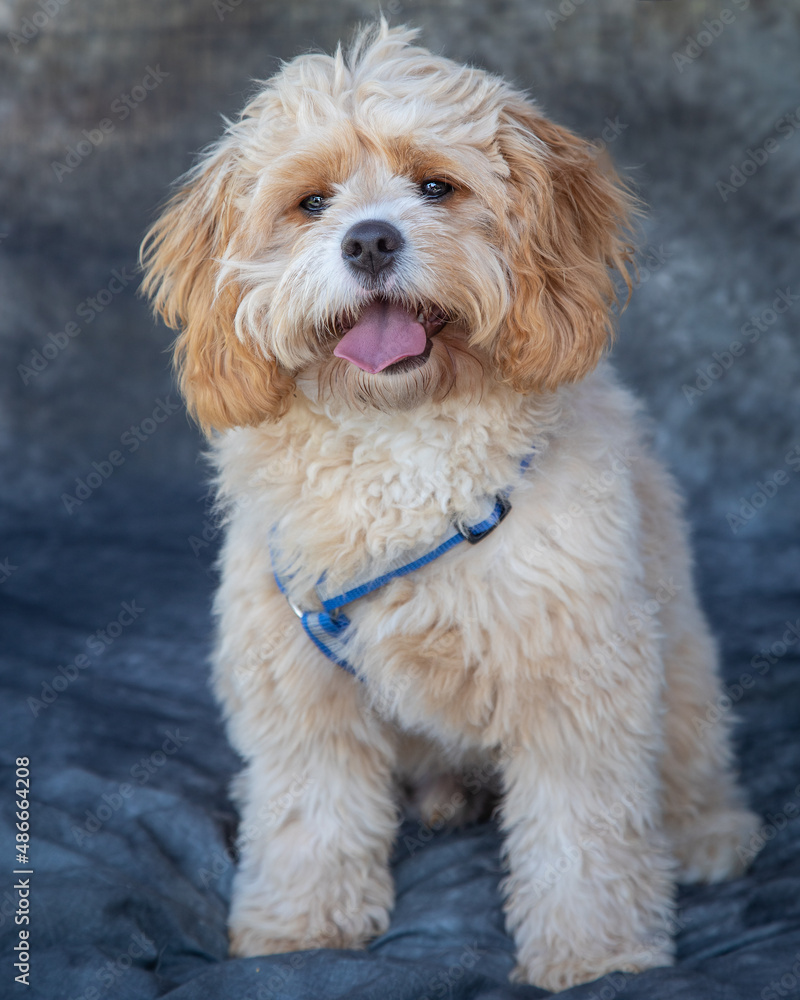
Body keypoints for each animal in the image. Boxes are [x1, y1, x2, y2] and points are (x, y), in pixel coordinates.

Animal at [141, 23, 760, 992]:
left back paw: (707, 833)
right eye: (311, 202)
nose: (368, 242)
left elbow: (582, 840)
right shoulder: (299, 682)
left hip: (681, 666)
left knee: (691, 765)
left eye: (436, 186)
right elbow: (310, 815)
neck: (402, 434)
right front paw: (300, 931)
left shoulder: (576, 675)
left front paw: (597, 957)